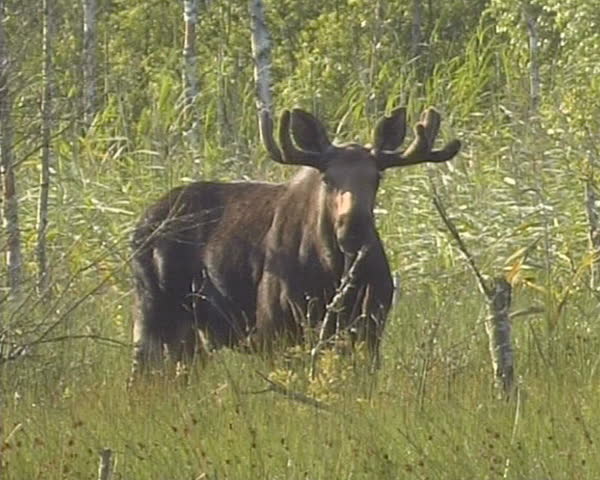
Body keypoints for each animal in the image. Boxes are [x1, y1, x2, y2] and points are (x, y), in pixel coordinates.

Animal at [130, 104, 460, 378]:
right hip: (153, 312)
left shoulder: (369, 329)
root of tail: (139, 227)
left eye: (376, 177)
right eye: (327, 178)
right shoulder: (274, 330)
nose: (352, 227)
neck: (333, 273)